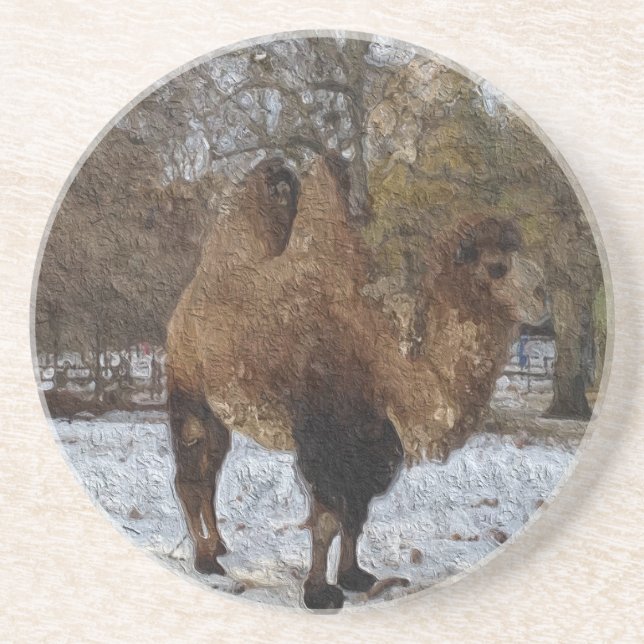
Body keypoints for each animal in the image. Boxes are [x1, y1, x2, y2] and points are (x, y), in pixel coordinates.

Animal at [166, 154, 545, 609]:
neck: (383, 357)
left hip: (221, 407)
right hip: (188, 388)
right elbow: (328, 517)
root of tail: (187, 299)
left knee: (210, 470)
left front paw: (354, 577)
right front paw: (319, 593)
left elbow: (356, 514)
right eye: (496, 267)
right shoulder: (324, 437)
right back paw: (205, 560)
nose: (542, 296)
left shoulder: (374, 440)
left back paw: (219, 546)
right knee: (191, 474)